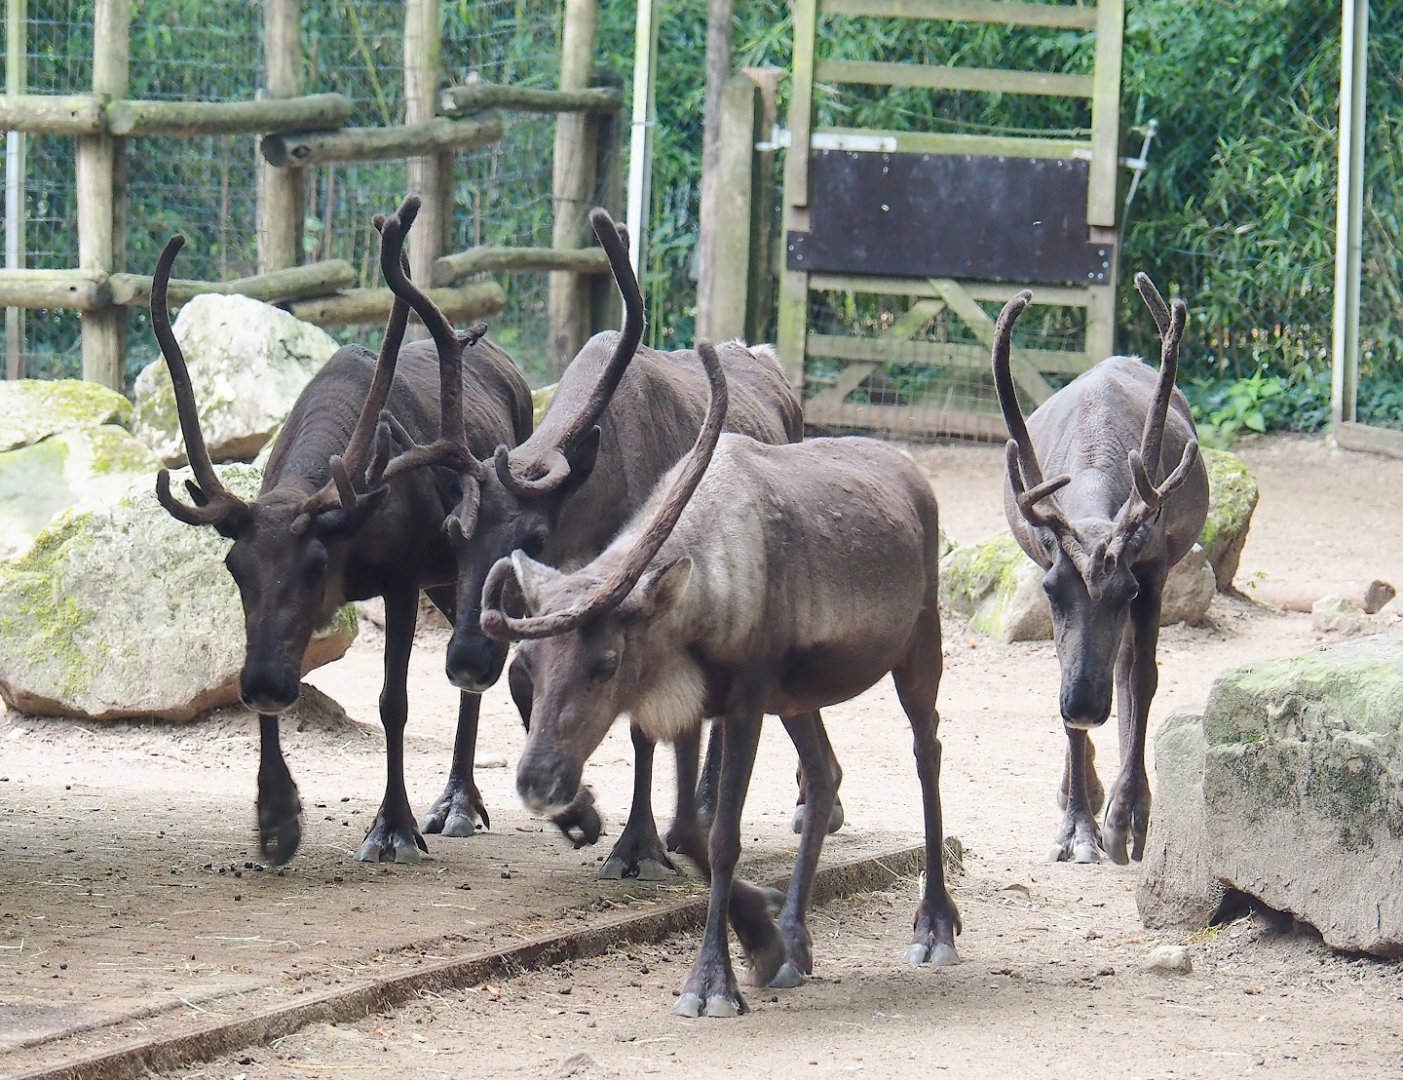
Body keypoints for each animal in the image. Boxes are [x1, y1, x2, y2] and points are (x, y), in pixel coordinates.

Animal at [151, 195, 533, 866]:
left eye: (316, 565)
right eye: (234, 568)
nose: (264, 684)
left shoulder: (402, 581)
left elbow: (392, 702)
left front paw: (393, 828)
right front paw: (277, 818)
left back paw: (458, 804)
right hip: (446, 581)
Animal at [417, 206, 843, 879]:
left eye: (535, 534)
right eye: (452, 533)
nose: (465, 660)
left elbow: (644, 722)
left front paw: (635, 844)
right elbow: (529, 685)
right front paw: (579, 815)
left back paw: (712, 810)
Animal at [480, 340, 958, 1017]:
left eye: (606, 662)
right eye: (525, 664)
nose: (537, 782)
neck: (698, 597)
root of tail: (912, 469)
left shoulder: (746, 701)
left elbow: (724, 834)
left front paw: (711, 982)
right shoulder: (690, 704)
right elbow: (687, 828)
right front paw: (763, 938)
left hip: (919, 642)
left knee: (927, 751)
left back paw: (935, 928)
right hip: (799, 697)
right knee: (824, 773)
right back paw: (795, 939)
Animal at [992, 274, 1209, 866]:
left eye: (1125, 592)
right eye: (1049, 591)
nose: (1086, 707)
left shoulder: (1153, 569)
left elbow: (1142, 677)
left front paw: (1126, 815)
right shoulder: (1047, 556)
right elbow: (1064, 669)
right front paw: (1078, 826)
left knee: (1128, 668)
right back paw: (1082, 786)